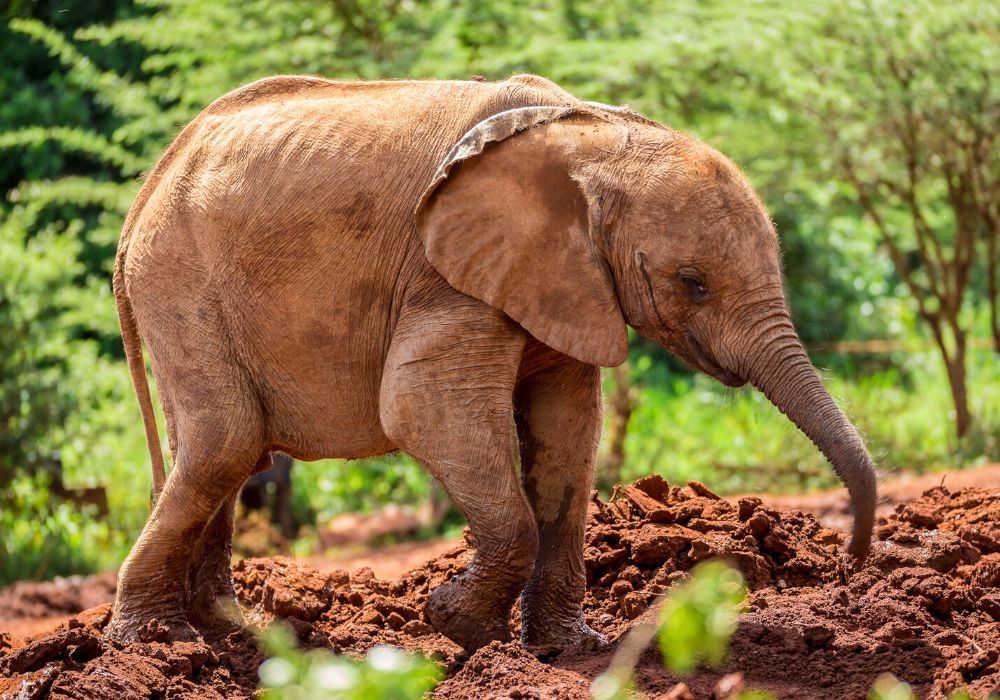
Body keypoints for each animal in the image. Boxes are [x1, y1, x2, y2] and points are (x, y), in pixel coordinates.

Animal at [105, 74, 880, 648]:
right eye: (692, 282)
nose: (848, 565)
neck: (590, 135)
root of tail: (150, 181)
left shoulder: (565, 283)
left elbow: (568, 434)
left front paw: (570, 649)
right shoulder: (445, 273)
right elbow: (421, 409)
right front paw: (459, 627)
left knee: (221, 455)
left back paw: (230, 635)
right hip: (179, 280)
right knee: (225, 444)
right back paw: (155, 642)